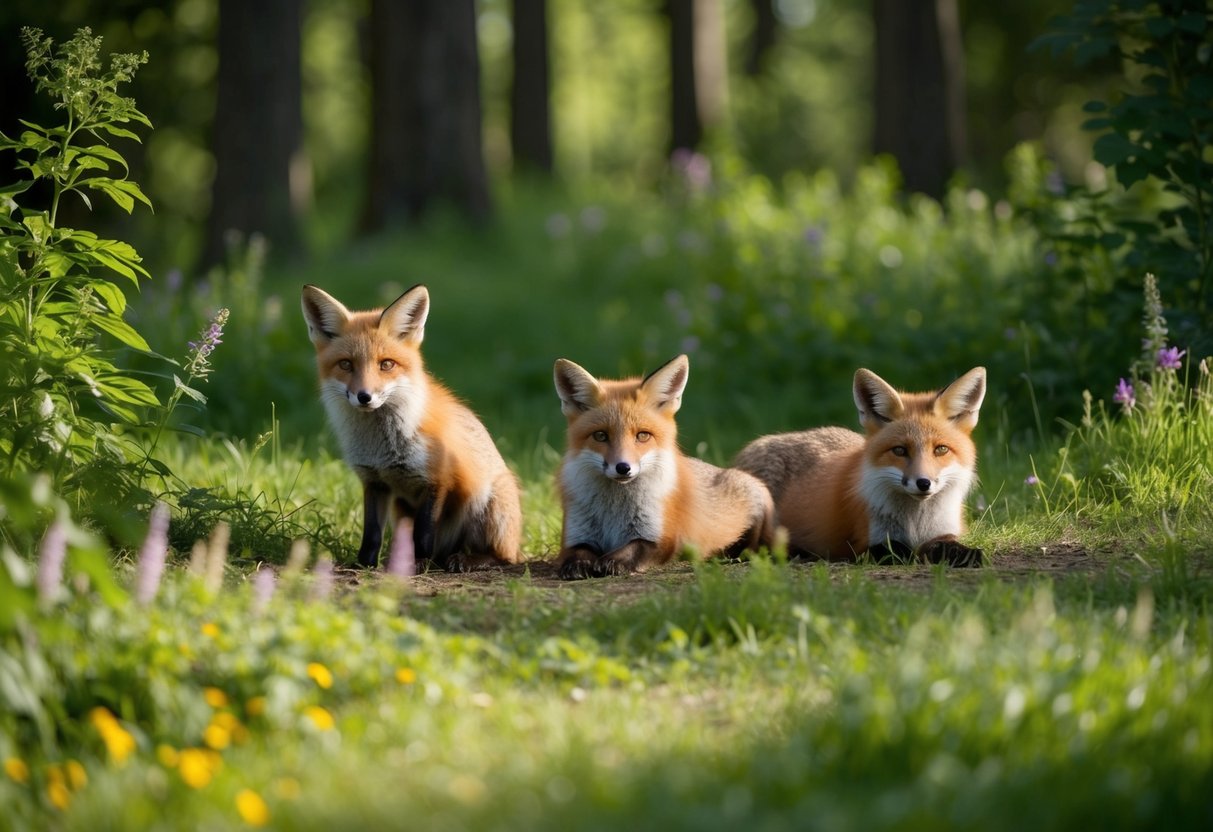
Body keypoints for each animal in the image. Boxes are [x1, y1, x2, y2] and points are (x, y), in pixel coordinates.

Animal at [301, 284, 522, 572]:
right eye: (346, 364)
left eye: (386, 364)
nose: (364, 397)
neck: (382, 447)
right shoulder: (374, 481)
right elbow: (372, 534)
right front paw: (364, 565)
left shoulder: (437, 480)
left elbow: (424, 534)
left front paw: (419, 564)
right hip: (401, 509)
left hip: (488, 504)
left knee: (503, 557)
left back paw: (465, 559)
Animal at [553, 354, 775, 580]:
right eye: (600, 435)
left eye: (643, 435)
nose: (623, 467)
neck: (614, 511)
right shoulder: (574, 535)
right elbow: (576, 552)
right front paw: (579, 564)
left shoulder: (663, 537)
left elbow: (634, 547)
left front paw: (612, 561)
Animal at [734, 367, 987, 567]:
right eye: (899, 450)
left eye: (941, 450)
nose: (923, 483)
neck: (916, 523)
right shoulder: (866, 542)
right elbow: (897, 551)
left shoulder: (943, 532)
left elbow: (946, 546)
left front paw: (967, 555)